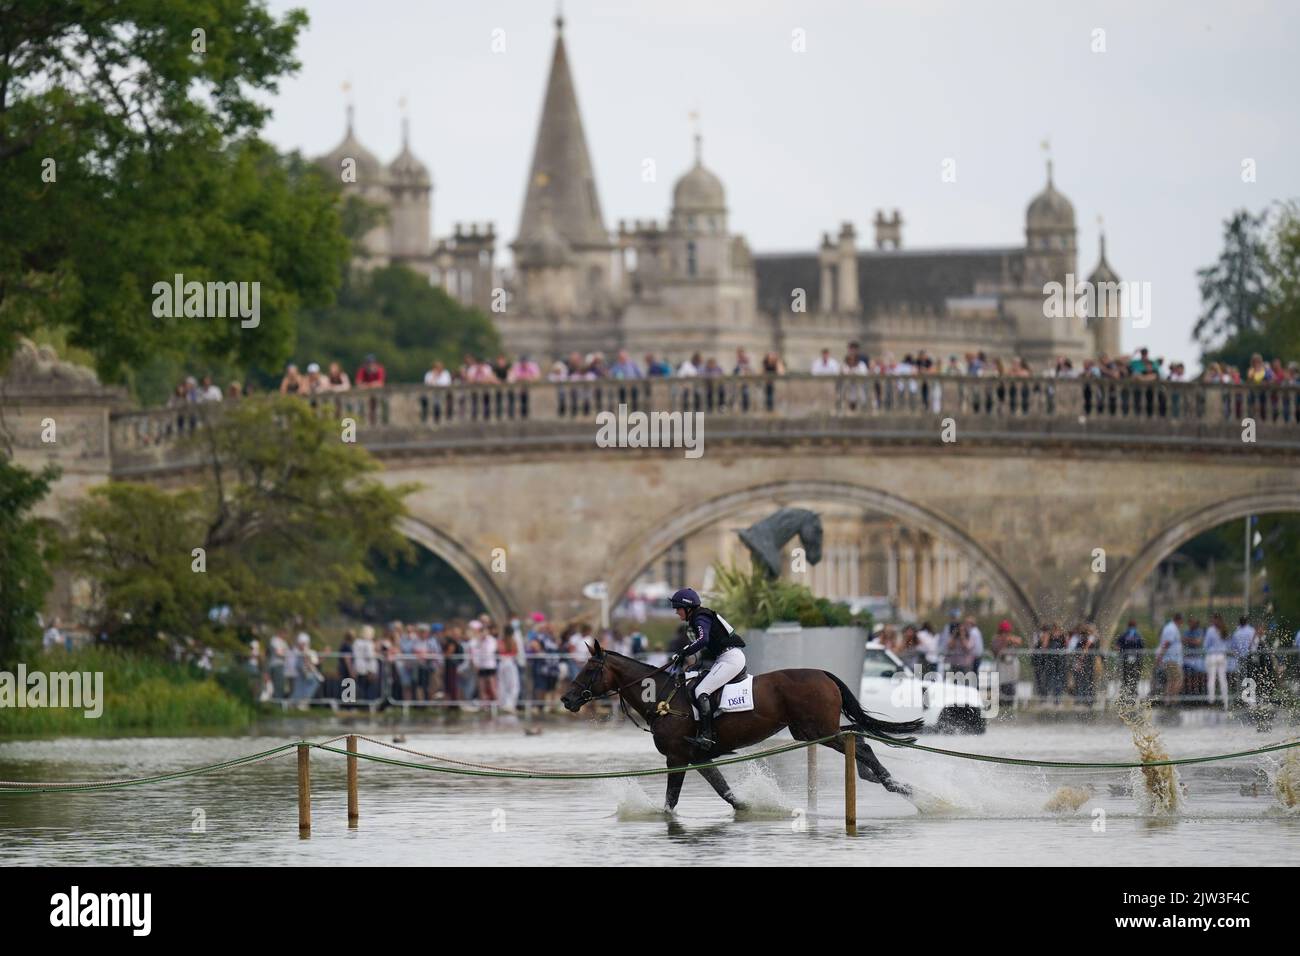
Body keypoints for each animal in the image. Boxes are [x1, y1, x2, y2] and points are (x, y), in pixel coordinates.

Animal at [564, 642, 920, 816]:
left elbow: (670, 801)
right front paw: (753, 809)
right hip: (808, 732)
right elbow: (727, 793)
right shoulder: (698, 757)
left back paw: (899, 786)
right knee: (857, 737)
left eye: (590, 668)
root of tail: (821, 673)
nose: (567, 699)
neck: (663, 697)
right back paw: (885, 781)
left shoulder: (676, 758)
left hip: (819, 729)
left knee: (861, 743)